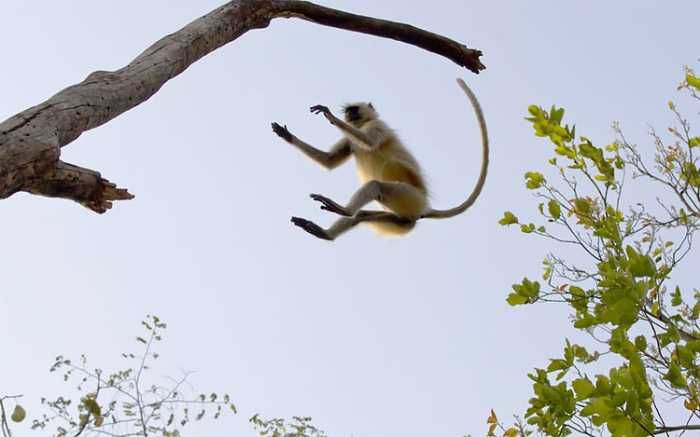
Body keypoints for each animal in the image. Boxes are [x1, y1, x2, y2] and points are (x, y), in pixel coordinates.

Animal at [270, 79, 490, 242]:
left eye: (354, 109)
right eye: (349, 111)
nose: (350, 115)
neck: (362, 124)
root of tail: (425, 207)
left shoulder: (377, 125)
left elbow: (367, 142)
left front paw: (329, 115)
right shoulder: (351, 139)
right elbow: (329, 161)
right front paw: (287, 136)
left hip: (409, 196)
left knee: (376, 186)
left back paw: (343, 209)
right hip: (403, 218)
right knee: (362, 215)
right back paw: (325, 233)